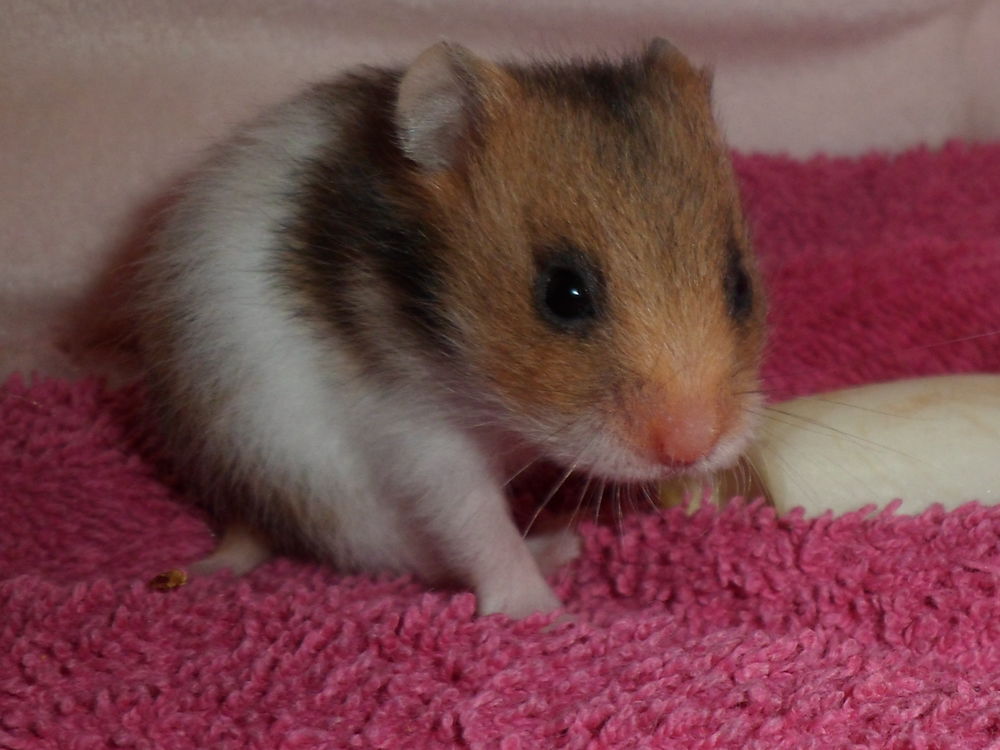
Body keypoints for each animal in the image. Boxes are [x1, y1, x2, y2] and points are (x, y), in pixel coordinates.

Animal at [137, 38, 766, 619]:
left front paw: (704, 491)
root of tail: (242, 510)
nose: (692, 448)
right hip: (318, 482)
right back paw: (558, 547)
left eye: (740, 285)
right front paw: (542, 616)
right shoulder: (419, 436)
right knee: (407, 553)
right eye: (563, 294)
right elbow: (476, 523)